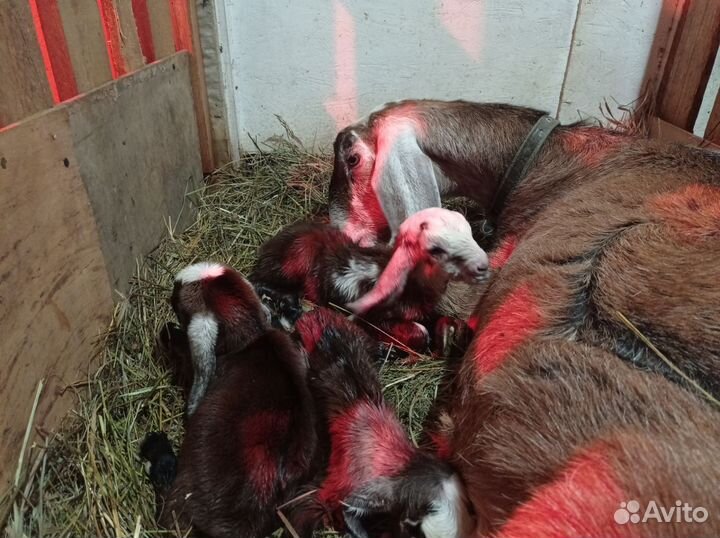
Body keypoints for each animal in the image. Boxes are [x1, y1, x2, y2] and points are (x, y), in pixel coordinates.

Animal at [250, 207, 488, 351]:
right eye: (437, 249)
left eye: (470, 233)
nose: (483, 265)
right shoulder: (375, 318)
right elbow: (417, 332)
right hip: (291, 263)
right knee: (261, 281)